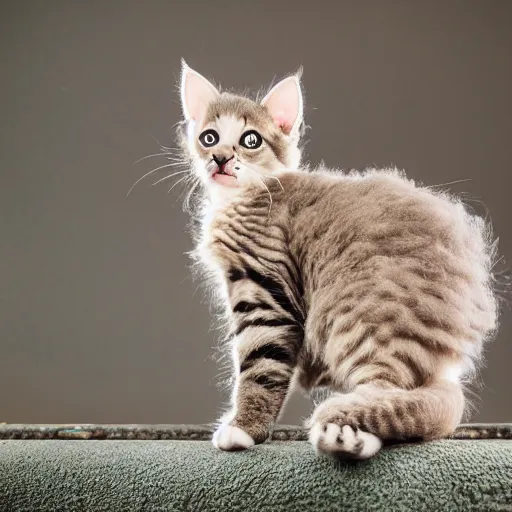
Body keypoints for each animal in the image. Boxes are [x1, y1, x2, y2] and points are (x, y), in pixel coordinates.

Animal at [178, 60, 498, 460]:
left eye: (250, 140)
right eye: (209, 137)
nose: (220, 158)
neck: (245, 197)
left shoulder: (266, 290)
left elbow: (260, 368)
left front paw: (244, 429)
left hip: (361, 317)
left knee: (388, 390)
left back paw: (343, 436)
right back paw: (350, 440)